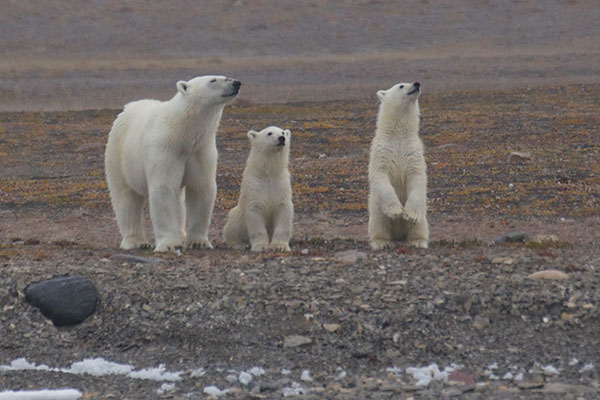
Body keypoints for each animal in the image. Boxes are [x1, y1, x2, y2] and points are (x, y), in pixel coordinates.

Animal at [105, 75, 239, 252]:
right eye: (213, 80)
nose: (236, 83)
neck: (182, 133)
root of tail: (126, 110)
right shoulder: (164, 149)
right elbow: (164, 189)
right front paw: (169, 244)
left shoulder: (200, 150)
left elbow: (200, 188)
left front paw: (198, 242)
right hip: (119, 157)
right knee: (126, 197)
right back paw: (136, 241)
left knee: (178, 201)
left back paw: (181, 234)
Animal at [368, 81, 428, 250]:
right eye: (401, 85)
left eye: (412, 82)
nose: (417, 84)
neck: (398, 136)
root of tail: (399, 234)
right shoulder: (382, 150)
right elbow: (380, 174)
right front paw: (396, 211)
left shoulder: (413, 150)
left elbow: (417, 176)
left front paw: (409, 214)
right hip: (375, 205)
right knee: (378, 221)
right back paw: (381, 242)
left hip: (423, 210)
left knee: (420, 223)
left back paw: (418, 241)